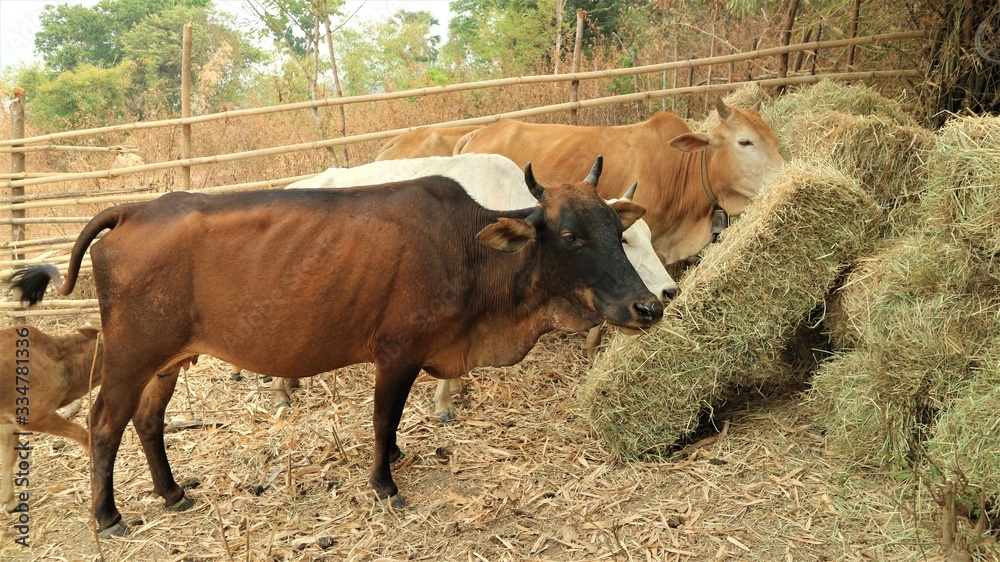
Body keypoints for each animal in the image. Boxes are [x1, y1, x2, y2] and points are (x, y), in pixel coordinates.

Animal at [10, 157, 662, 538]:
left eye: (617, 230)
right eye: (571, 236)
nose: (649, 306)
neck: (471, 251)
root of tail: (136, 208)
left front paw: (395, 461)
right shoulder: (397, 351)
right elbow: (382, 418)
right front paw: (385, 484)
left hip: (166, 361)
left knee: (148, 421)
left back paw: (172, 494)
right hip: (129, 356)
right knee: (104, 423)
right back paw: (108, 516)